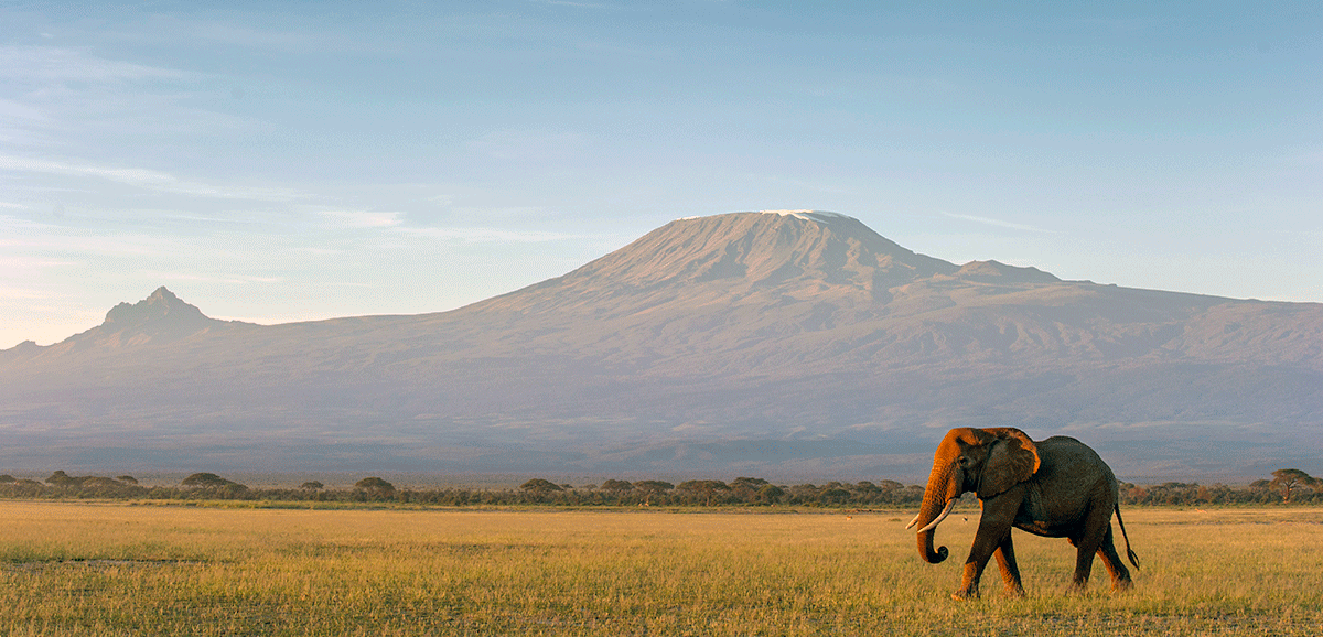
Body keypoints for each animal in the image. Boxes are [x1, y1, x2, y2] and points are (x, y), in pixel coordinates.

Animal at [904, 423, 1143, 598]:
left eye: (963, 461)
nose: (942, 550)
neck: (987, 432)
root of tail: (1109, 471)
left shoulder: (1012, 482)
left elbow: (992, 527)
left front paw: (960, 598)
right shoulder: (995, 481)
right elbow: (1000, 535)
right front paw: (1014, 597)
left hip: (1101, 491)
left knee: (1089, 540)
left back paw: (1073, 595)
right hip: (1099, 497)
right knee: (1101, 541)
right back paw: (1122, 591)